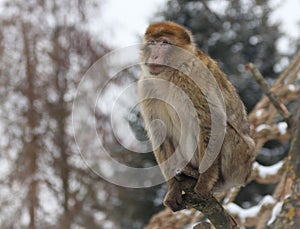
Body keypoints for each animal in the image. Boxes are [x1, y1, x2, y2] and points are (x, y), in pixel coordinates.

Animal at [138, 21, 255, 213]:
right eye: (152, 42)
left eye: (164, 43)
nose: (154, 55)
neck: (170, 74)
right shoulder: (146, 86)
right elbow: (159, 132)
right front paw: (173, 189)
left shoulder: (194, 78)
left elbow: (212, 121)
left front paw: (204, 184)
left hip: (241, 160)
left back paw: (208, 179)